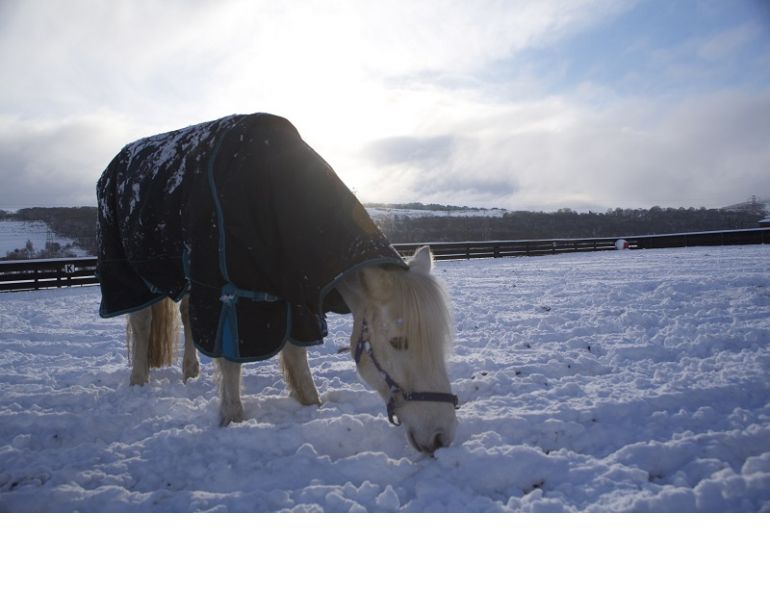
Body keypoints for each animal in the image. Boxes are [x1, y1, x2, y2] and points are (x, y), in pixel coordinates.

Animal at [97, 113, 459, 454]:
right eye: (399, 342)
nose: (441, 437)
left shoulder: (294, 299)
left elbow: (297, 356)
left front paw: (313, 404)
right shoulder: (224, 293)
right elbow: (230, 358)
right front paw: (231, 417)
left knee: (185, 317)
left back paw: (189, 371)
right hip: (129, 273)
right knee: (142, 321)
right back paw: (138, 380)